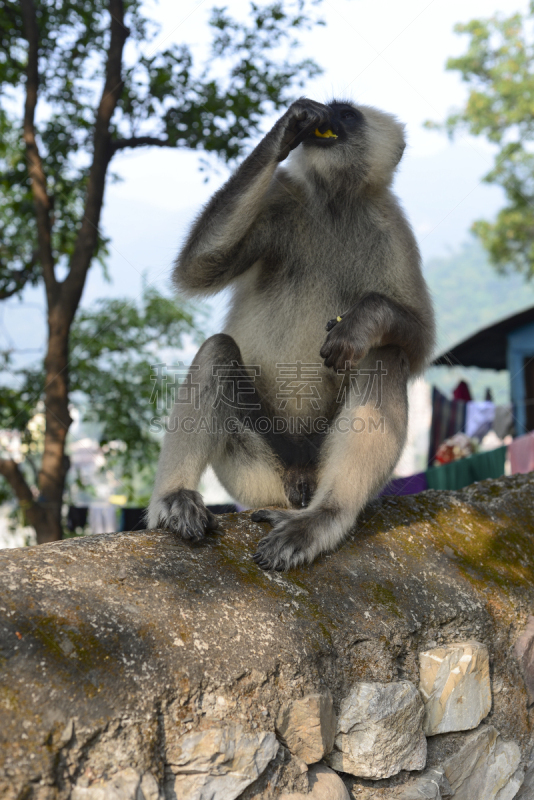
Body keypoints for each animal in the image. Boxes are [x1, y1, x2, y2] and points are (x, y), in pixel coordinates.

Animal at [147, 98, 436, 568]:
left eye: (348, 115)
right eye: (332, 110)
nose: (328, 117)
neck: (334, 204)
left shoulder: (392, 229)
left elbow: (418, 341)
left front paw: (361, 322)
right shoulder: (282, 196)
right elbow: (198, 267)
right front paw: (288, 125)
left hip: (313, 465)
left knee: (382, 356)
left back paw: (324, 517)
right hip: (258, 471)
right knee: (218, 351)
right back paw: (174, 498)